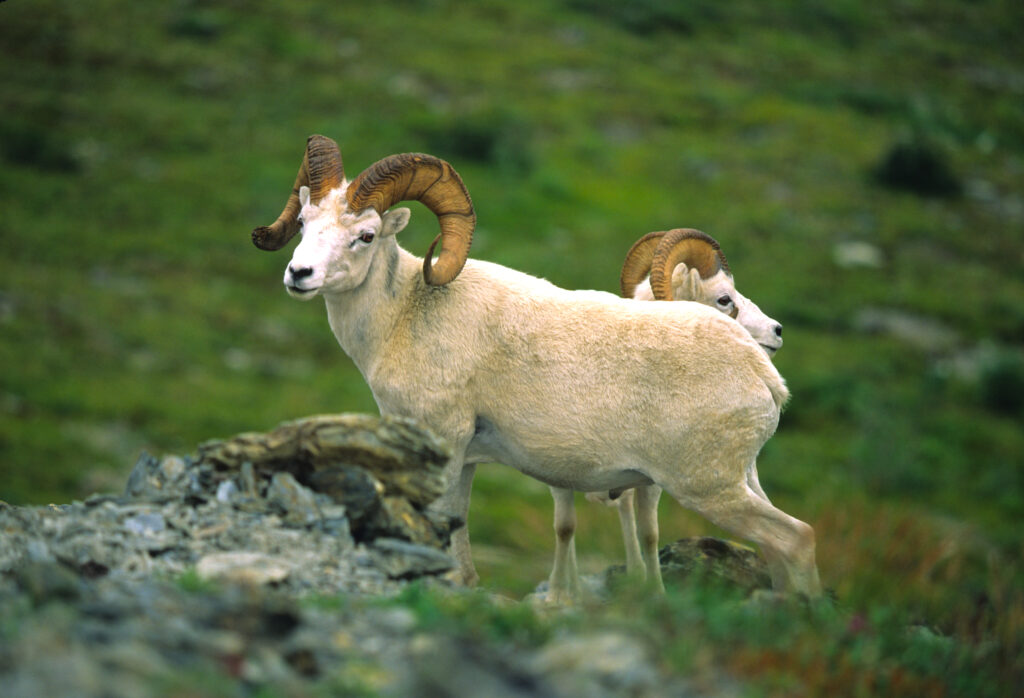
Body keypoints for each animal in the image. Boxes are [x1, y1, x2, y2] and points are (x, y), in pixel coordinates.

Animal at [548, 228, 786, 597]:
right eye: (724, 299)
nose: (777, 331)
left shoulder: (651, 481)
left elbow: (649, 534)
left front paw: (653, 591)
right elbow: (565, 529)